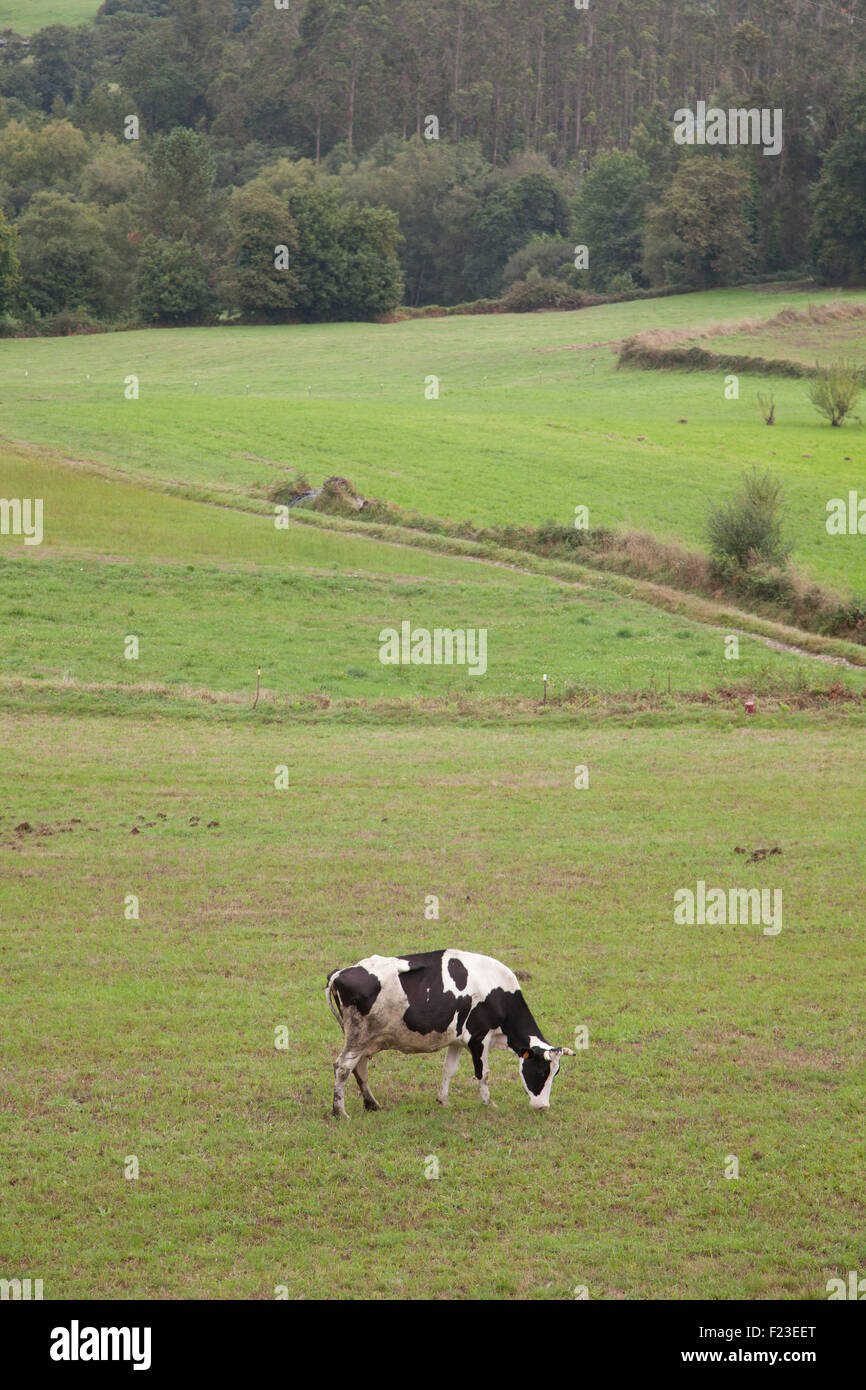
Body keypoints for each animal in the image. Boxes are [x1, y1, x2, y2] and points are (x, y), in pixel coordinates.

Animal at [325, 945, 575, 1117]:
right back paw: (340, 1112)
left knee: (358, 1067)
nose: (543, 1107)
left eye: (555, 1073)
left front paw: (443, 1100)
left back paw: (372, 1104)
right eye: (542, 1071)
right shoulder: (479, 1038)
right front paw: (488, 1103)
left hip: (363, 1039)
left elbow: (449, 1069)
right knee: (343, 1067)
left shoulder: (456, 1040)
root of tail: (339, 973)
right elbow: (483, 1073)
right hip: (359, 1036)